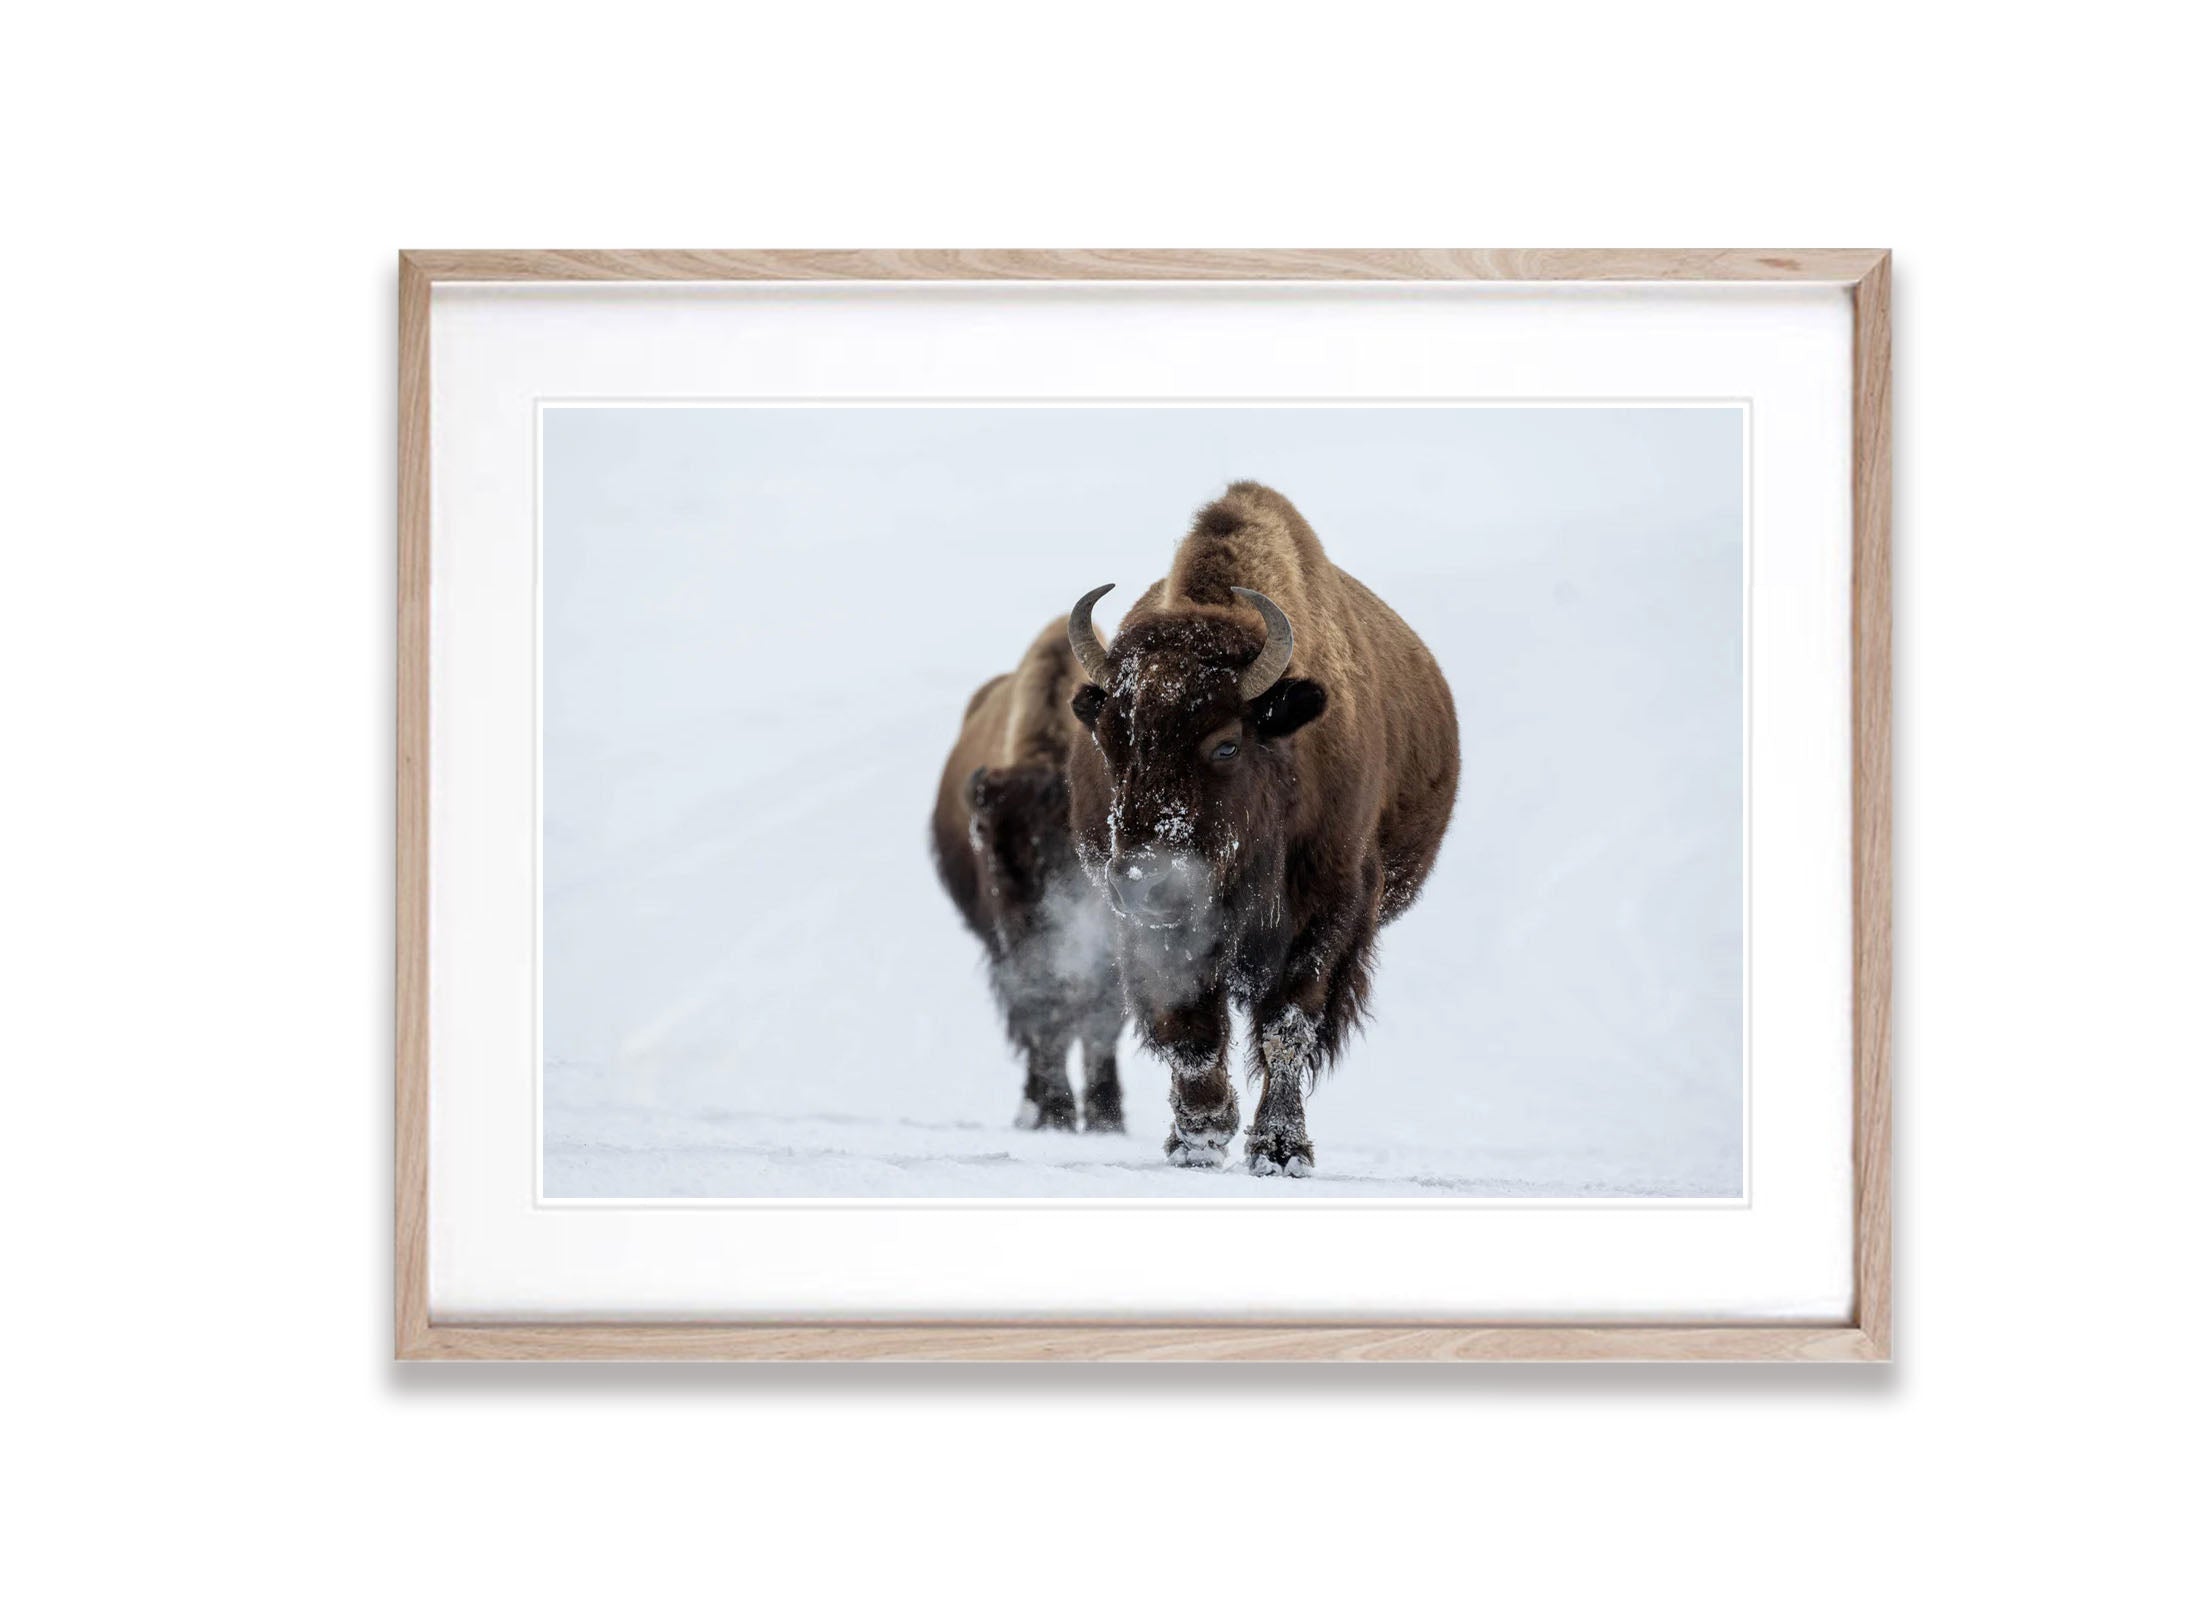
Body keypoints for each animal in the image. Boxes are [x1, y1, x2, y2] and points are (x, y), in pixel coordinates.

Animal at [932, 620, 1126, 1135]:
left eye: (1086, 841)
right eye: (986, 839)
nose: (1043, 908)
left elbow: (1102, 1017)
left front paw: (1106, 1118)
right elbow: (1045, 1013)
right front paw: (1057, 1112)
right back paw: (1035, 1107)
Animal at [1064, 481, 1460, 1170]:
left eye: (1226, 744)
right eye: (1111, 741)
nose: (1144, 878)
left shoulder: (1328, 912)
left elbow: (1287, 1026)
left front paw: (1281, 1149)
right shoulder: (1150, 929)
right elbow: (1188, 1023)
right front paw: (1199, 1135)